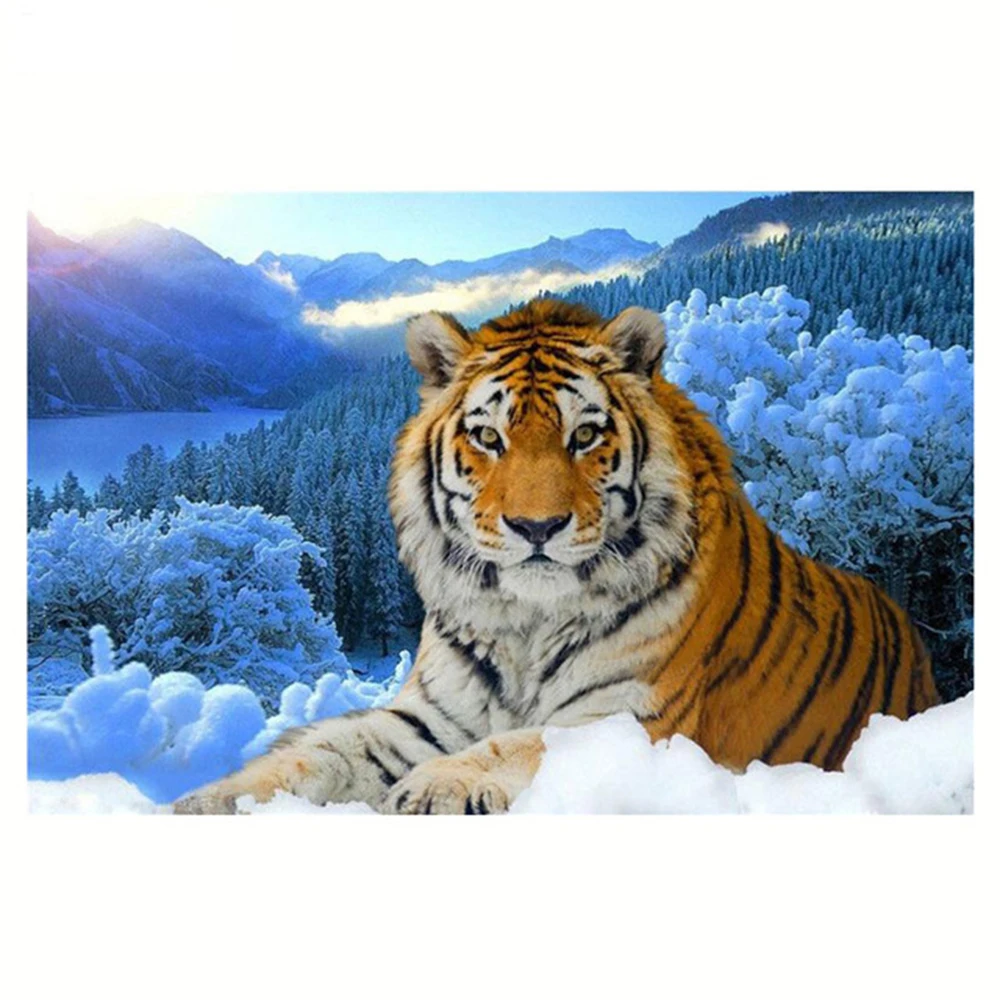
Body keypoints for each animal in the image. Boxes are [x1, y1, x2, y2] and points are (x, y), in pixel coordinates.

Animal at [174, 298, 940, 814]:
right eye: (488, 437)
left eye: (585, 436)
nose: (535, 526)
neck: (526, 621)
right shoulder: (428, 718)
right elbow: (319, 751)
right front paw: (206, 801)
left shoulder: (633, 719)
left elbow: (524, 742)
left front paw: (437, 786)